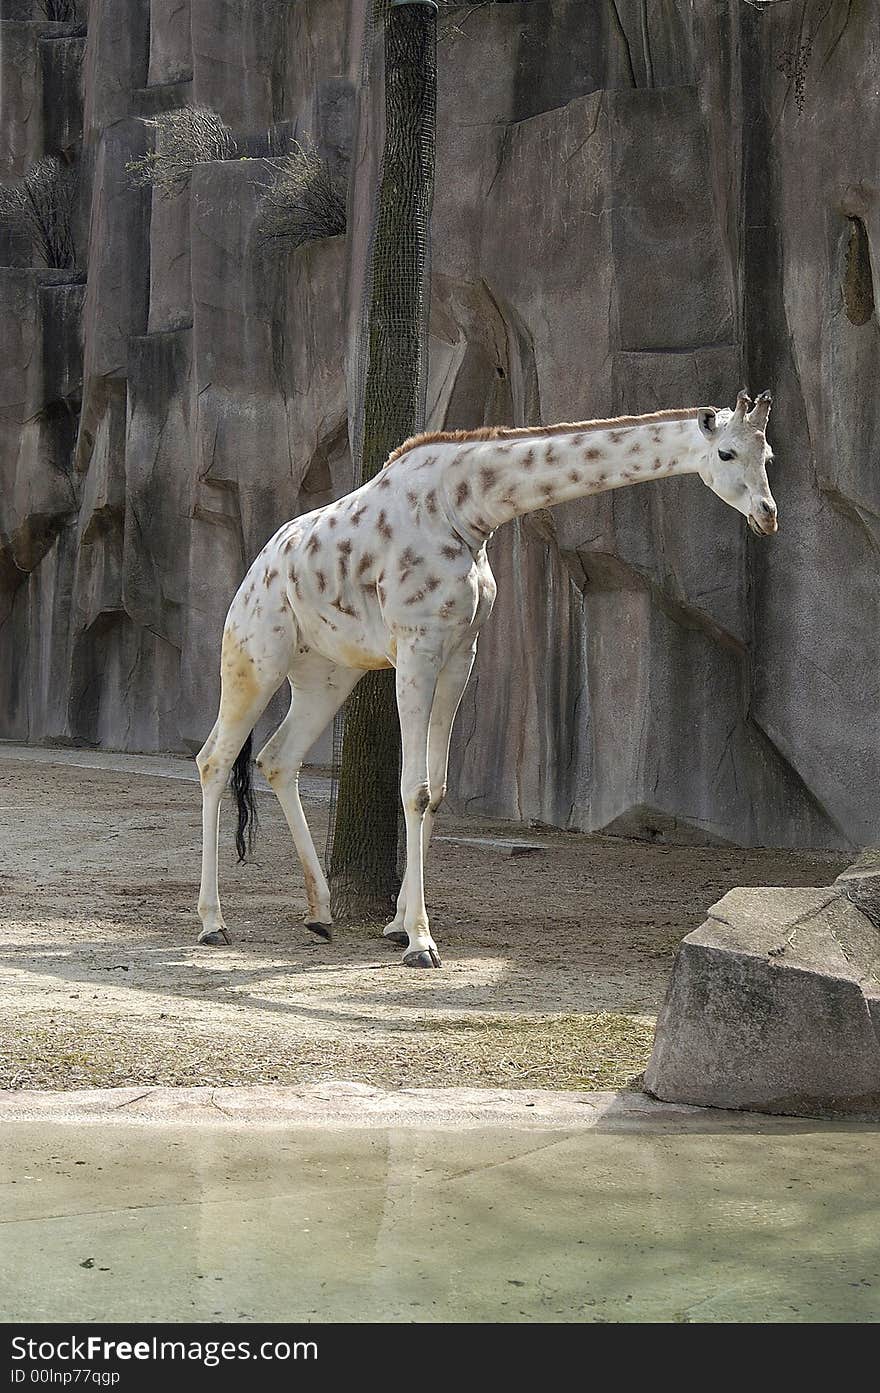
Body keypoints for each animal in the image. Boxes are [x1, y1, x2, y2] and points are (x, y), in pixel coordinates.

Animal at [196, 387, 774, 963]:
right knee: (214, 759)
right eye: (726, 454)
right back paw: (212, 924)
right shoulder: (417, 647)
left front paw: (398, 926)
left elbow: (438, 790)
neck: (466, 508)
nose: (768, 515)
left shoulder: (461, 652)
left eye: (767, 456)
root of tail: (256, 569)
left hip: (328, 672)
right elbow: (413, 788)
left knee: (277, 759)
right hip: (255, 656)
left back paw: (319, 914)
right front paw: (420, 941)